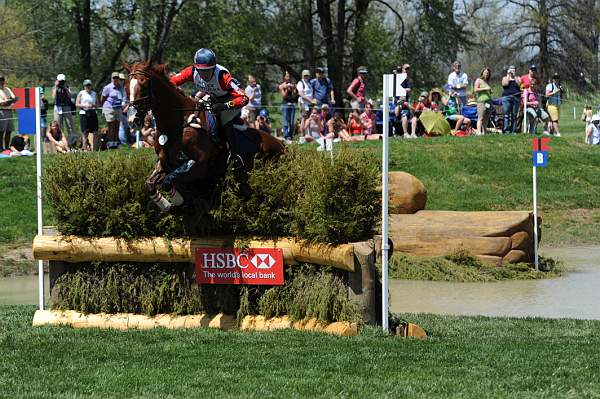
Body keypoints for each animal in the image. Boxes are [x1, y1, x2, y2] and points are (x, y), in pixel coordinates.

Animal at [123, 61, 284, 212]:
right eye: (126, 87)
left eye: (144, 85)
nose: (132, 120)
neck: (179, 124)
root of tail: (280, 144)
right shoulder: (165, 163)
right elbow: (150, 184)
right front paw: (168, 206)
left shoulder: (199, 166)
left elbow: (167, 182)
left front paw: (178, 202)